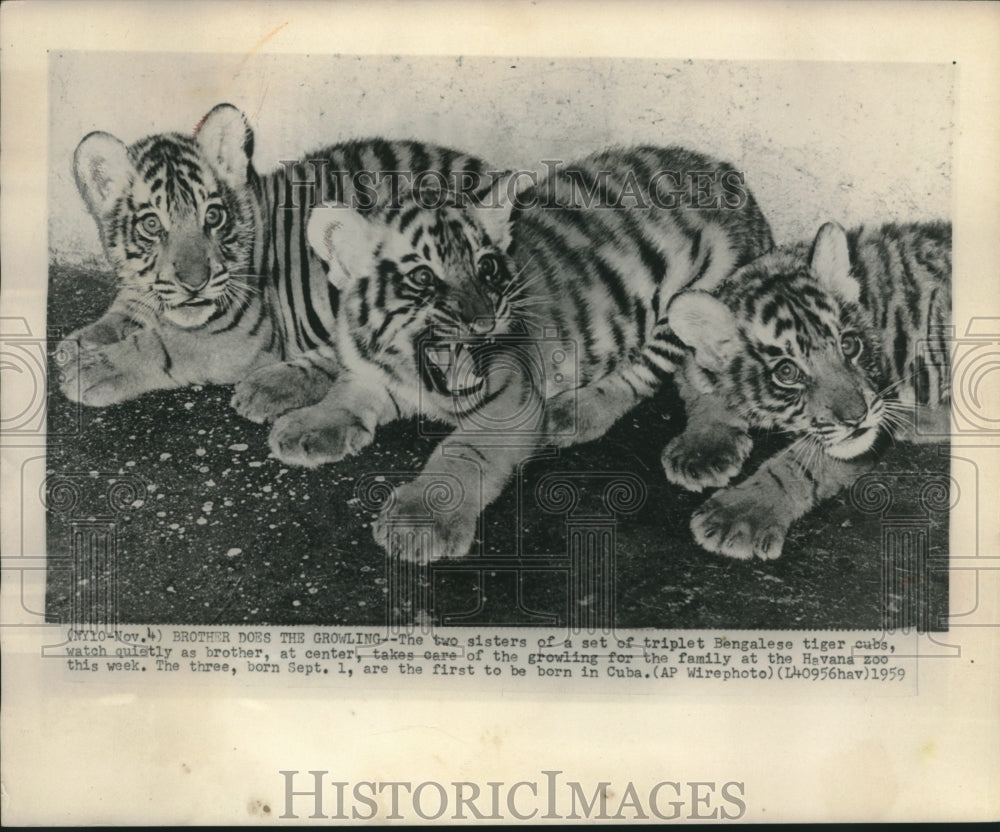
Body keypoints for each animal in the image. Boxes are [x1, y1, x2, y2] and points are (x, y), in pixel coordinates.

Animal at [59, 103, 496, 465]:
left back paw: (270, 389)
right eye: (152, 224)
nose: (195, 283)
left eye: (213, 216)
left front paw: (90, 368)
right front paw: (77, 343)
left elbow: (158, 344)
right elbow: (123, 312)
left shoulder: (238, 333)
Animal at [303, 146, 774, 560]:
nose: (484, 321)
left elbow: (464, 452)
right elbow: (345, 394)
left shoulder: (510, 395)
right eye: (422, 276)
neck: (411, 375)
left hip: (698, 296)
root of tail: (728, 174)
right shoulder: (369, 371)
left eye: (487, 266)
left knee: (666, 373)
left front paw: (420, 521)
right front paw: (305, 429)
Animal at [661, 220, 951, 560]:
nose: (857, 417)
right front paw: (700, 451)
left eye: (849, 345)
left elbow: (797, 466)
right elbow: (700, 387)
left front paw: (738, 515)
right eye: (787, 372)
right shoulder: (693, 363)